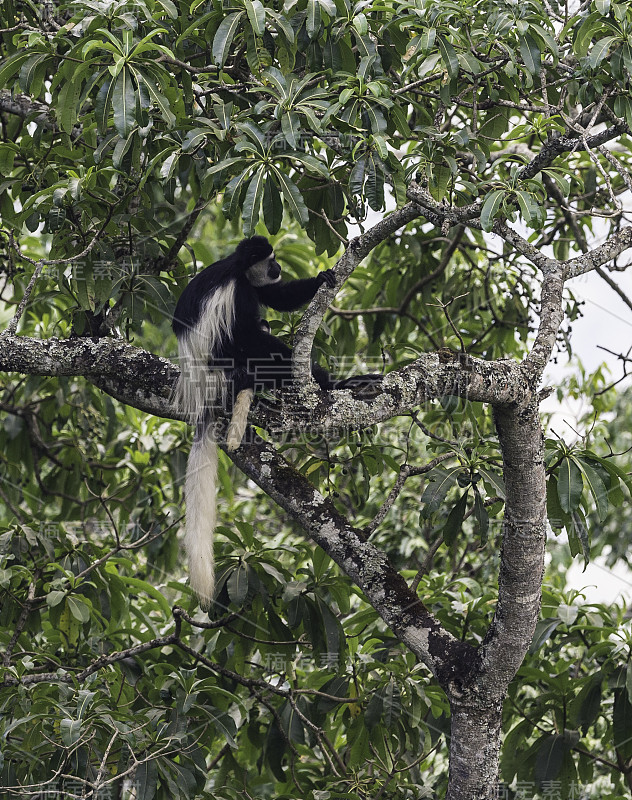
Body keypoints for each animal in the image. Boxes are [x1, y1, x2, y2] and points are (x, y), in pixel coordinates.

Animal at [173, 234, 358, 608]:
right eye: (270, 261)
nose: (278, 267)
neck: (238, 269)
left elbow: (275, 296)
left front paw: (321, 278)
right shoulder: (236, 293)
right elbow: (245, 328)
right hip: (222, 365)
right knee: (245, 340)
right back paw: (325, 383)